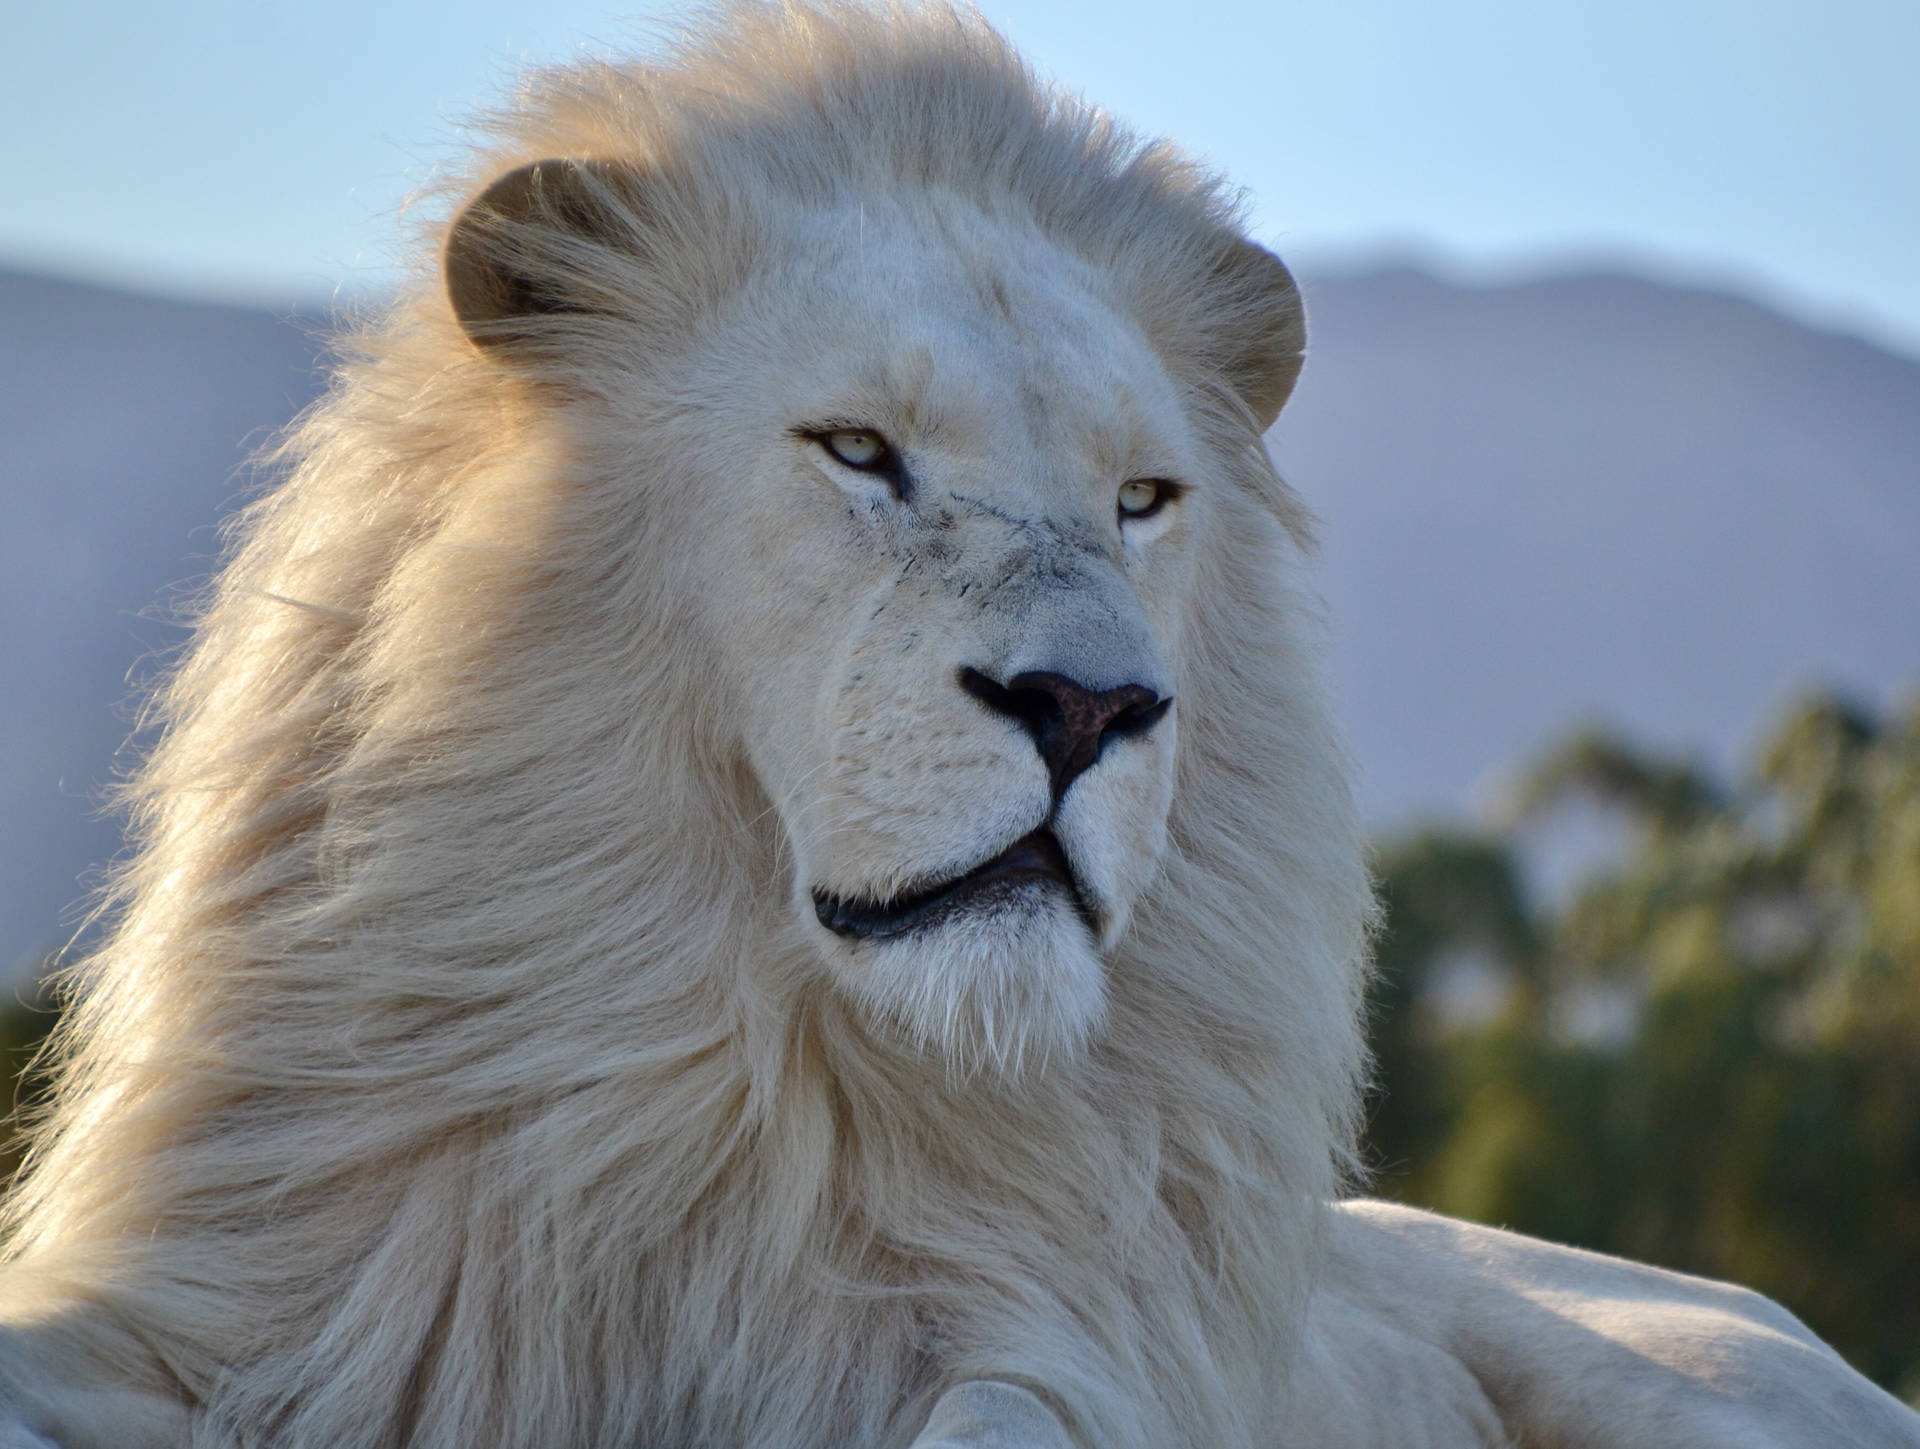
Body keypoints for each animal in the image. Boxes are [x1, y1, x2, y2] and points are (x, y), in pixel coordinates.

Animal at [1, 5, 1914, 1448]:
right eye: (858, 449)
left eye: (1143, 498)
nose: (1090, 704)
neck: (738, 1100)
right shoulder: (246, 1303)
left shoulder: (1063, 1348)